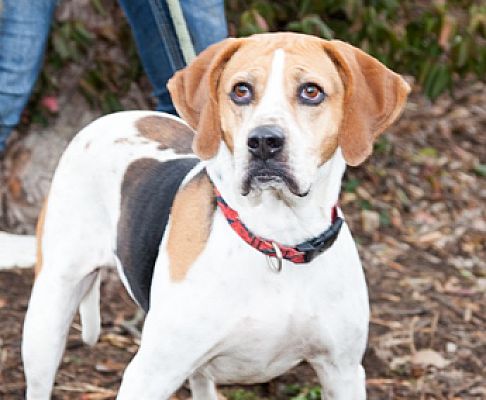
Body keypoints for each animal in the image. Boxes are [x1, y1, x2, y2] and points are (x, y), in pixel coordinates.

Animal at [22, 32, 410, 398]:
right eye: (241, 90)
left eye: (311, 92)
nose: (264, 141)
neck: (275, 240)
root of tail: (112, 117)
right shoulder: (148, 375)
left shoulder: (342, 371)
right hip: (47, 317)